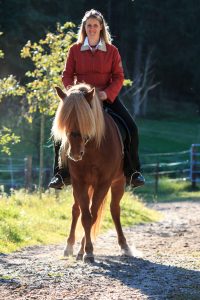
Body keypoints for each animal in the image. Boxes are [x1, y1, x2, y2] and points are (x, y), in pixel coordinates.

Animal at [52, 82, 132, 262]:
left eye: (86, 121)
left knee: (114, 209)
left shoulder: (104, 182)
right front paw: (85, 251)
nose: (75, 154)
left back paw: (124, 246)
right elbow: (85, 216)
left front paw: (87, 251)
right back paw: (69, 247)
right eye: (65, 121)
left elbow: (93, 215)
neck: (93, 148)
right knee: (76, 210)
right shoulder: (79, 182)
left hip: (118, 182)